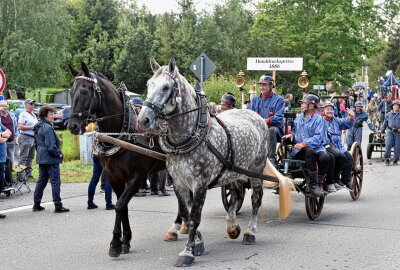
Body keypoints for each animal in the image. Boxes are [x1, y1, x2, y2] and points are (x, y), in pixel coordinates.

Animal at [68, 62, 188, 258]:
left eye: (85, 92)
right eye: (71, 92)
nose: (72, 125)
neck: (123, 132)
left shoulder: (137, 177)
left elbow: (120, 205)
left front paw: (115, 243)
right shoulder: (114, 177)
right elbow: (121, 205)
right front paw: (125, 240)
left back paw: (179, 225)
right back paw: (181, 225)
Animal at [138, 58, 290, 266]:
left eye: (166, 87)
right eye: (148, 85)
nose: (143, 120)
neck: (191, 135)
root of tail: (255, 115)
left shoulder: (200, 184)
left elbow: (194, 217)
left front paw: (188, 252)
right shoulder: (179, 183)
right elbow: (185, 213)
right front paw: (198, 243)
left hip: (256, 168)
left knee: (256, 199)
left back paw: (250, 232)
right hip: (233, 171)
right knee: (236, 194)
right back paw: (232, 226)